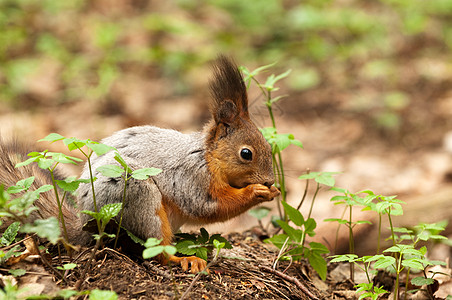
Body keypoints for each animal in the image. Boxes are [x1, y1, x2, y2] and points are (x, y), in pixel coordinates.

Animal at [0, 55, 280, 274]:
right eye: (246, 153)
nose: (270, 180)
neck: (208, 157)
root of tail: (85, 225)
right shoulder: (192, 177)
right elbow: (208, 206)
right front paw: (257, 192)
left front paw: (272, 191)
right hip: (138, 199)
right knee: (157, 252)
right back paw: (185, 259)